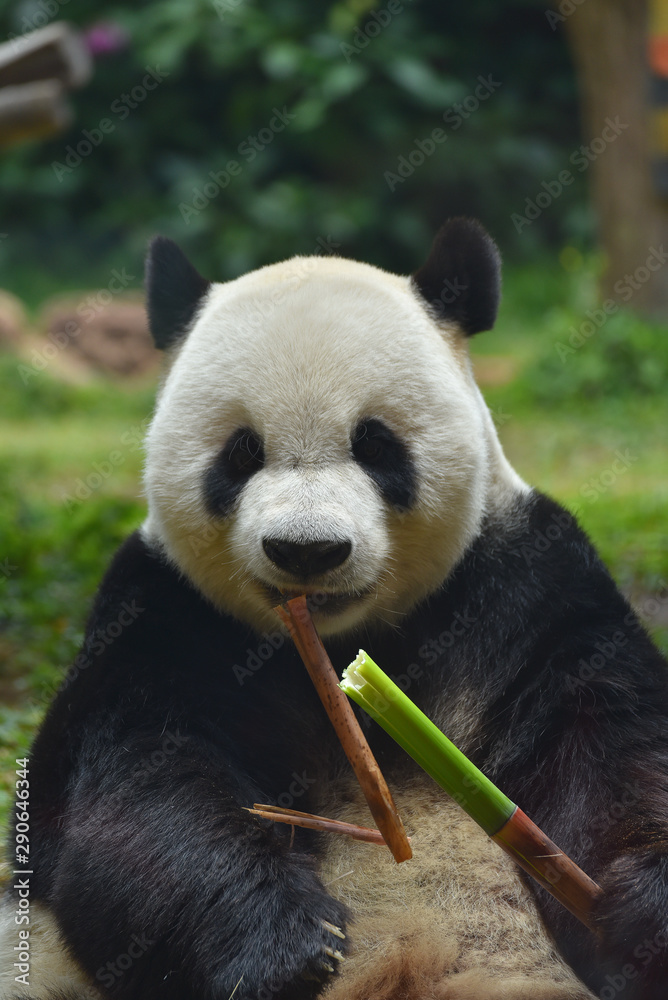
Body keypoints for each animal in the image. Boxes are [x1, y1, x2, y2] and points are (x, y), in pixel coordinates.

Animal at [2, 218, 668, 1000]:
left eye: (375, 444)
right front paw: (285, 943)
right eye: (241, 453)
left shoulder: (525, 589)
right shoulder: (162, 614)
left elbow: (613, 743)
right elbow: (135, 790)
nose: (307, 550)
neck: (341, 640)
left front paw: (640, 909)